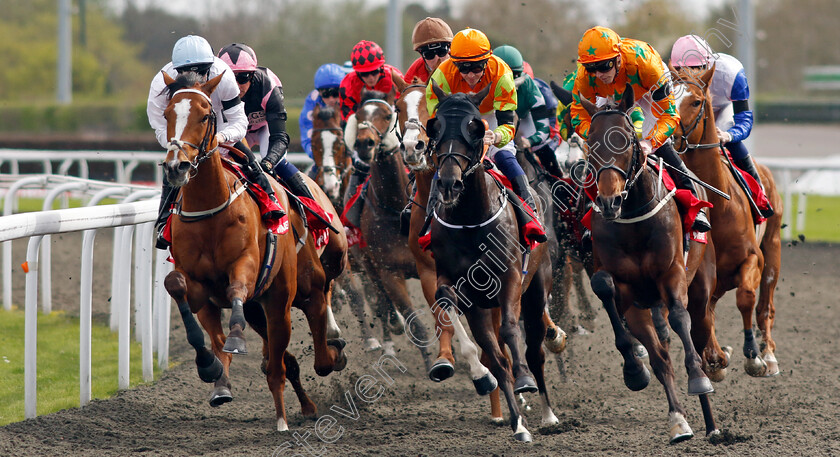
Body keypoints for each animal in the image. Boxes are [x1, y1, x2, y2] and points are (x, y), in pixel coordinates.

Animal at [159, 71, 346, 432]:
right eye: (167, 115)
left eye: (205, 115)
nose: (177, 167)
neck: (210, 211)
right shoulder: (201, 288)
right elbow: (177, 287)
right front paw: (211, 368)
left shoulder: (250, 269)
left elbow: (237, 290)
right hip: (269, 307)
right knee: (284, 360)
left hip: (306, 281)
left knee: (317, 333)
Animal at [426, 82, 556, 442]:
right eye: (434, 127)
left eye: (475, 127)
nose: (449, 183)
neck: (470, 220)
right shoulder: (452, 280)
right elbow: (445, 299)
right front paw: (482, 376)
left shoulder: (511, 276)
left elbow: (512, 328)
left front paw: (525, 380)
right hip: (481, 310)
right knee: (498, 358)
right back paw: (518, 425)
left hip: (536, 288)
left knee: (535, 351)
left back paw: (548, 414)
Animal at [580, 83, 724, 440]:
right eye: (591, 143)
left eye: (626, 140)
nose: (609, 201)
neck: (633, 217)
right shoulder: (625, 290)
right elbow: (605, 288)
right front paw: (634, 371)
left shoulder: (671, 274)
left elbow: (680, 318)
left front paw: (698, 379)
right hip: (643, 308)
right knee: (661, 358)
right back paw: (680, 421)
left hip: (700, 289)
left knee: (696, 332)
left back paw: (712, 422)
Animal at [668, 65, 788, 378]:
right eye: (667, 97)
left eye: (696, 101)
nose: (669, 136)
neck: (719, 207)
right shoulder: (700, 272)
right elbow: (701, 315)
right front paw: (715, 360)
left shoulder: (752, 258)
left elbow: (746, 296)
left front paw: (753, 357)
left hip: (772, 249)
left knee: (765, 305)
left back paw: (768, 354)